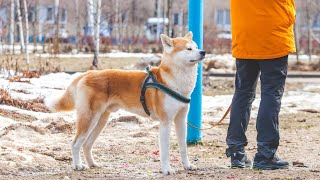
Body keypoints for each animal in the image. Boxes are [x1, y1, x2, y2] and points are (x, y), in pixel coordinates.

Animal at [45, 32, 206, 174]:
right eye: (188, 49)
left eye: (196, 46)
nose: (203, 52)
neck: (174, 81)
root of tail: (87, 73)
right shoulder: (165, 122)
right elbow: (165, 150)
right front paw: (167, 170)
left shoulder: (181, 120)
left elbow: (183, 147)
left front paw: (187, 166)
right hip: (89, 118)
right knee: (75, 143)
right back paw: (78, 165)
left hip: (101, 120)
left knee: (86, 144)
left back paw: (92, 164)